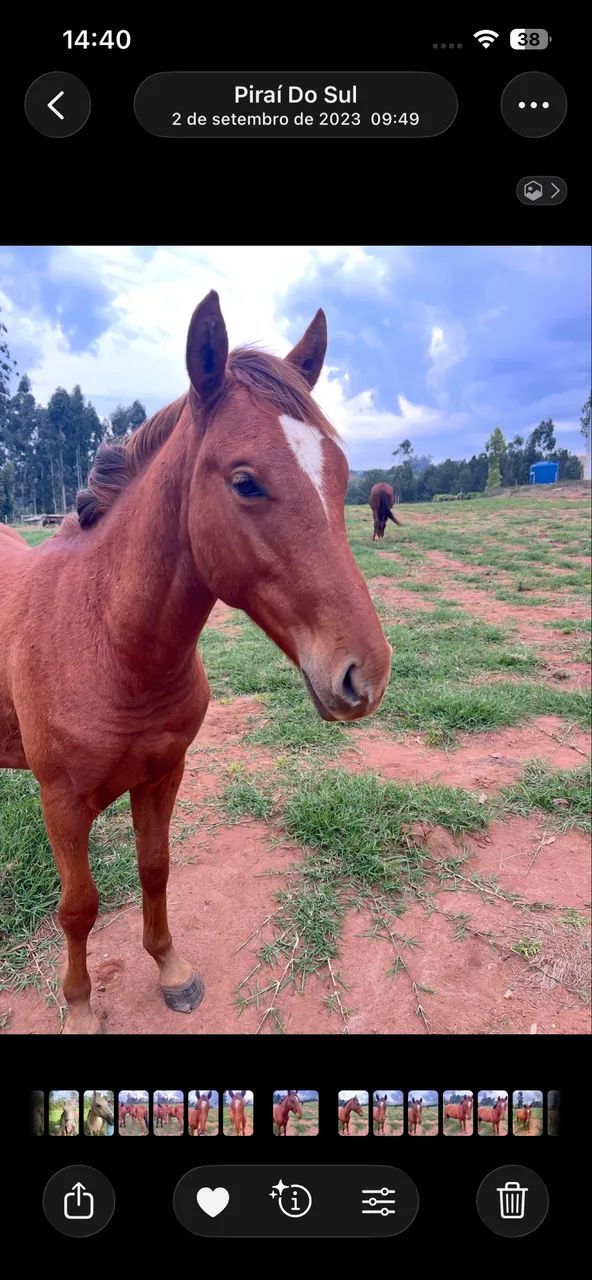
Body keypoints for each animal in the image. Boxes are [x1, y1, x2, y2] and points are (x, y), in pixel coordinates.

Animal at [0, 292, 392, 1036]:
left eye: (340, 475)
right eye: (245, 482)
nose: (367, 674)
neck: (108, 643)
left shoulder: (163, 774)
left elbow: (156, 869)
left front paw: (172, 971)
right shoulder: (61, 803)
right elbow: (78, 906)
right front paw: (78, 1006)